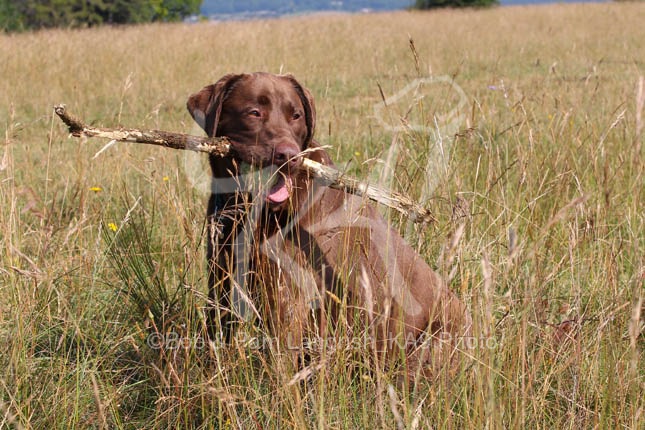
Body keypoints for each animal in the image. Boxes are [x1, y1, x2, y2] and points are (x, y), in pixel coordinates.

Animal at [185, 72, 468, 378]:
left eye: (296, 115)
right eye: (254, 112)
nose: (289, 155)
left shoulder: (288, 295)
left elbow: (280, 362)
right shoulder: (222, 280)